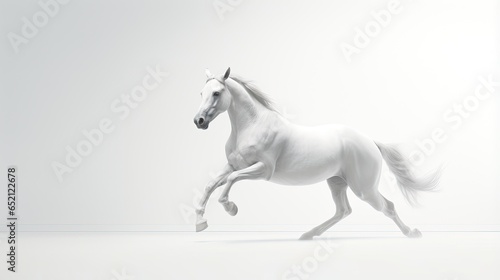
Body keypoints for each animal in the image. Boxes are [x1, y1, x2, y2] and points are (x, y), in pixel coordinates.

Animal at [193, 67, 440, 238]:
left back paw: (412, 233)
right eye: (201, 93)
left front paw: (231, 208)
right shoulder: (234, 165)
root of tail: (370, 142)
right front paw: (199, 223)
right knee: (343, 211)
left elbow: (230, 182)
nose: (199, 121)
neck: (252, 127)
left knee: (387, 207)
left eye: (217, 93)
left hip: (364, 189)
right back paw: (308, 234)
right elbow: (211, 184)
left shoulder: (263, 170)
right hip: (337, 182)